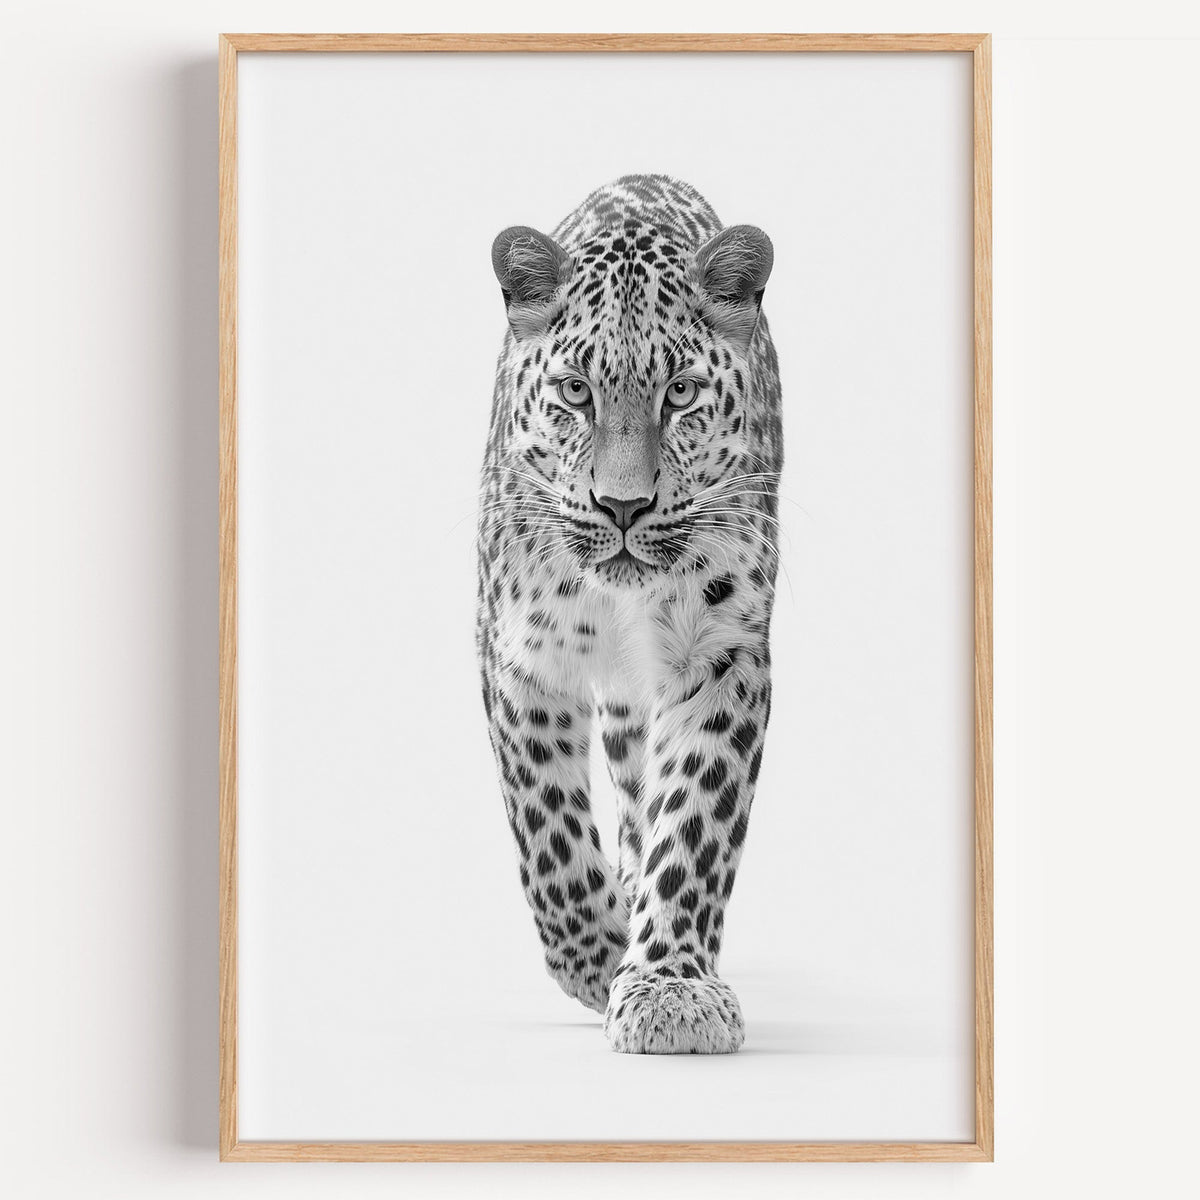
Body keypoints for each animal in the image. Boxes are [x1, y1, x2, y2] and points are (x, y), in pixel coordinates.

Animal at [476, 175, 782, 1054]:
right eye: (576, 393)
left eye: (680, 394)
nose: (622, 506)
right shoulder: (522, 658)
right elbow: (548, 832)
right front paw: (600, 956)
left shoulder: (724, 657)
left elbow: (694, 824)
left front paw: (670, 985)